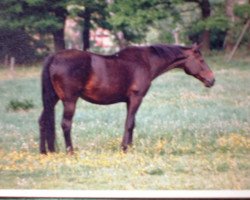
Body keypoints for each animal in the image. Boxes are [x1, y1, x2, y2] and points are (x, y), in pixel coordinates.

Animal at [38, 43, 215, 154]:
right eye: (201, 60)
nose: (212, 80)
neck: (146, 61)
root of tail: (54, 57)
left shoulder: (129, 101)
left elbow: (132, 123)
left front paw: (129, 147)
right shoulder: (136, 98)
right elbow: (129, 124)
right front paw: (124, 148)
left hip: (52, 99)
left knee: (43, 121)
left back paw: (44, 152)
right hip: (69, 101)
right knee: (66, 124)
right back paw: (70, 152)